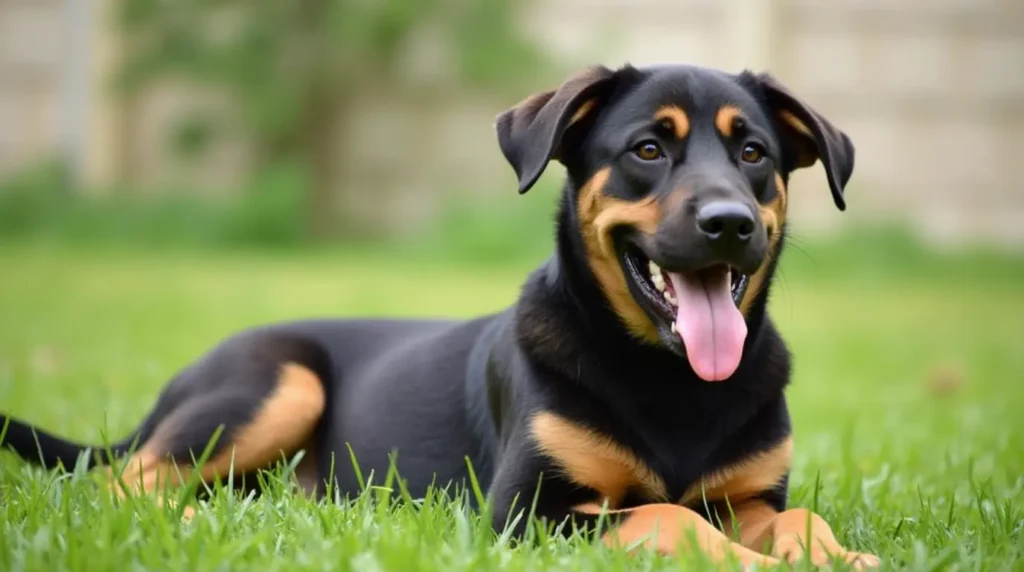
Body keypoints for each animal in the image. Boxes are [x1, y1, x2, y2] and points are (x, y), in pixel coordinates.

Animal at [0, 63, 880, 568]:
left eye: (754, 153)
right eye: (648, 150)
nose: (730, 224)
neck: (670, 380)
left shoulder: (754, 497)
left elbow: (798, 515)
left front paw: (838, 556)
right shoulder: (527, 512)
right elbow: (666, 514)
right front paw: (752, 564)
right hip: (274, 383)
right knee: (117, 483)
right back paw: (188, 521)